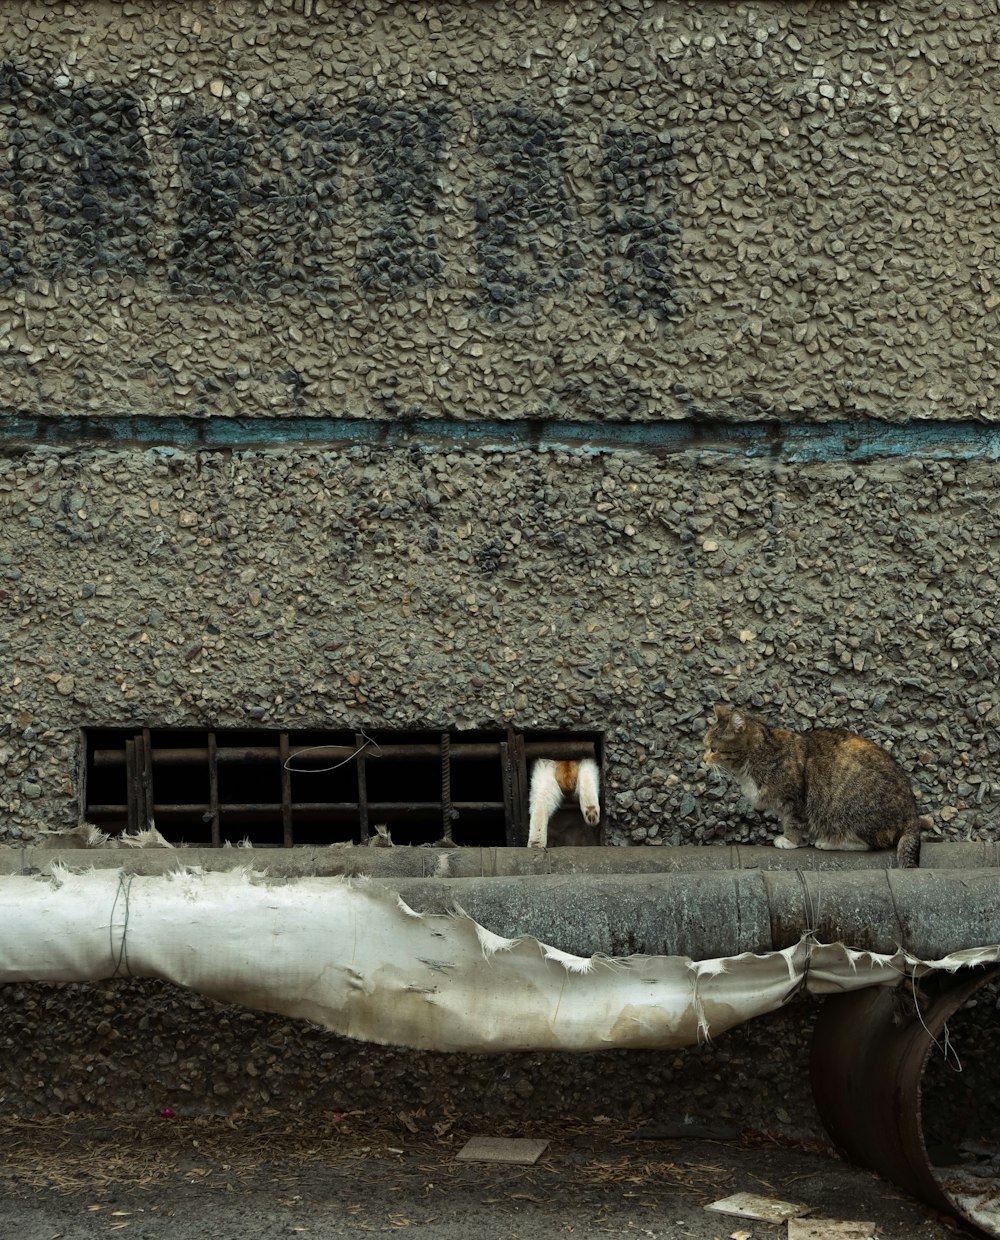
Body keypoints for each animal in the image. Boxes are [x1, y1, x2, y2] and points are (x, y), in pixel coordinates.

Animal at [709, 704, 928, 868]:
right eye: (705, 746)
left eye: (713, 749)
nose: (704, 759)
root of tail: (912, 813)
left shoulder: (795, 799)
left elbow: (794, 821)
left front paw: (789, 840)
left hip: (851, 811)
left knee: (872, 843)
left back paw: (829, 842)